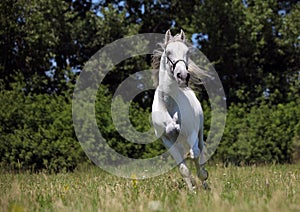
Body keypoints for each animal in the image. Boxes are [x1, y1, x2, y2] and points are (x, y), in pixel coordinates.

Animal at [151, 29, 210, 190]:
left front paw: (203, 176)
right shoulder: (167, 140)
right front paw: (192, 190)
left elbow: (195, 154)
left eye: (187, 52)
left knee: (199, 151)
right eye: (168, 52)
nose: (183, 76)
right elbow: (183, 169)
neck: (169, 104)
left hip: (199, 132)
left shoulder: (192, 133)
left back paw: (205, 181)